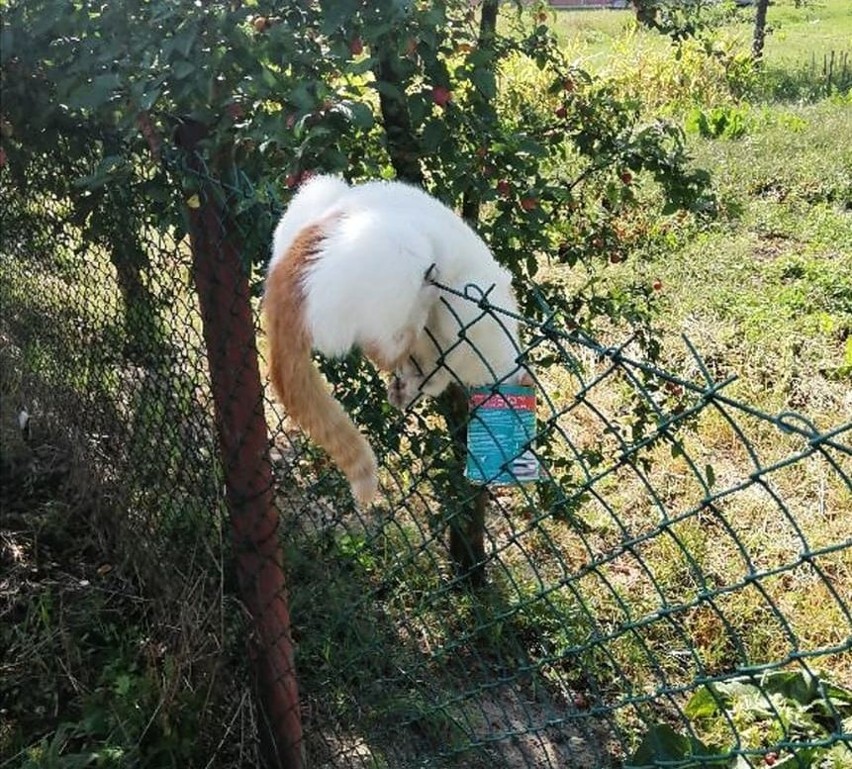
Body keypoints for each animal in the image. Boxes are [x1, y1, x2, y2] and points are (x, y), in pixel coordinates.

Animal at [264, 174, 524, 504]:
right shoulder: (466, 311)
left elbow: (428, 375)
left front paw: (410, 388)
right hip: (405, 249)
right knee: (383, 349)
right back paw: (423, 300)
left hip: (319, 188)